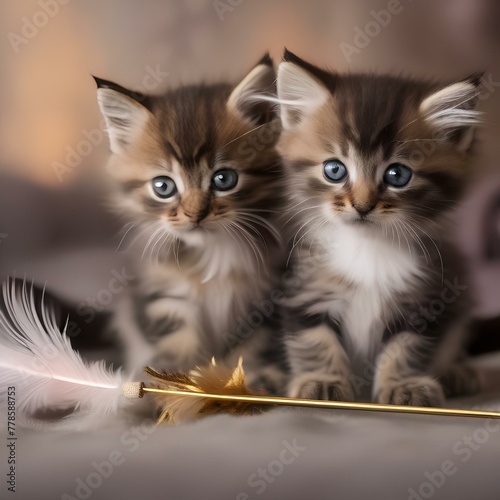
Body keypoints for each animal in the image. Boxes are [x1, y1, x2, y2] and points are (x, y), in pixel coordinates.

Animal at [276, 48, 482, 404]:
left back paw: (457, 373)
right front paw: (322, 381)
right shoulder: (305, 289)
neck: (368, 246)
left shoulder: (426, 298)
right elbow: (313, 340)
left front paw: (404, 385)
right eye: (334, 170)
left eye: (397, 175)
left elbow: (407, 348)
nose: (362, 205)